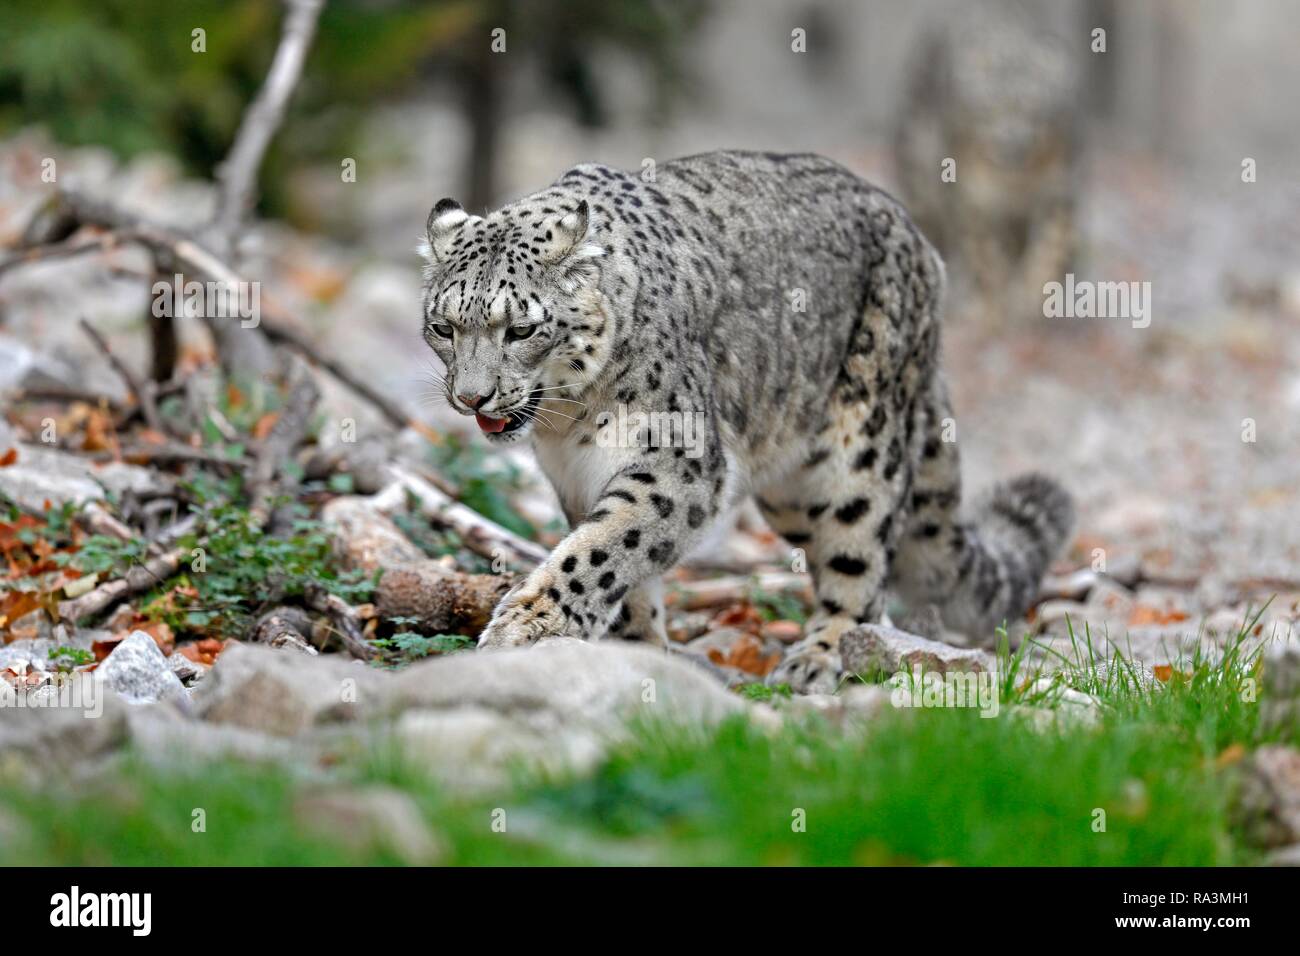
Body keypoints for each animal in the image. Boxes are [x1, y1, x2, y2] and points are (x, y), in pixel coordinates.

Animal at [418, 149, 1074, 694]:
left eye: (521, 328)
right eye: (442, 327)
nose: (472, 398)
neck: (569, 419)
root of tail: (921, 243)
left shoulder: (675, 464)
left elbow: (604, 546)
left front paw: (527, 623)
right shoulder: (578, 479)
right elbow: (621, 557)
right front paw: (637, 649)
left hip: (858, 454)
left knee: (860, 562)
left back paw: (822, 656)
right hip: (791, 492)